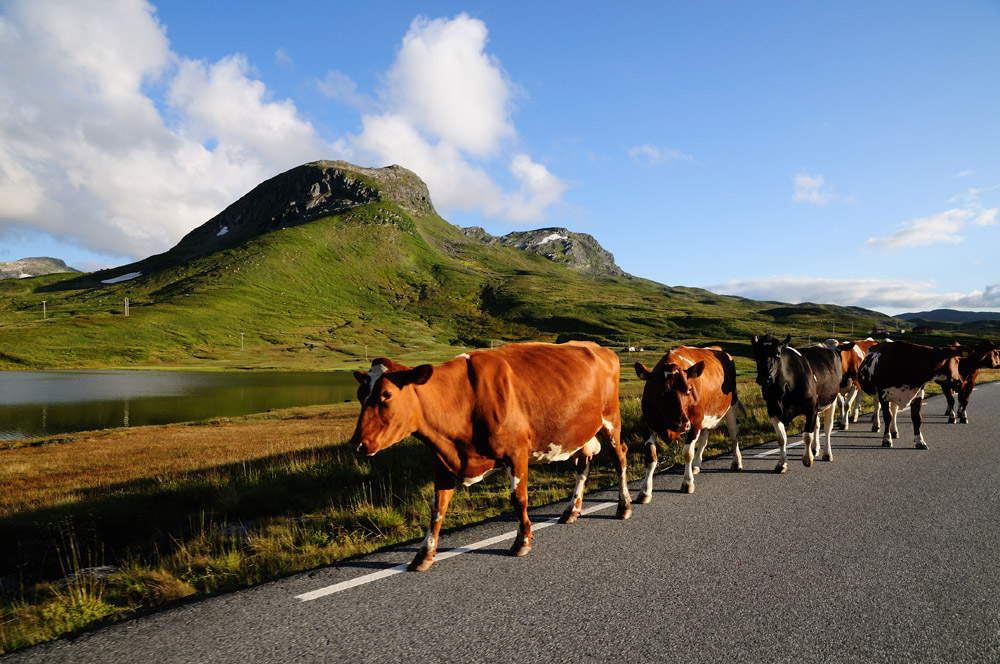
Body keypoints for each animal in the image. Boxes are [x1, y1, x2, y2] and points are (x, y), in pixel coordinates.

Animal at [352, 342, 632, 572]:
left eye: (386, 395)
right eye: (360, 395)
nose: (357, 444)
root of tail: (600, 348)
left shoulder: (516, 452)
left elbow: (518, 499)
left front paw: (522, 541)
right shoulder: (443, 461)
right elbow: (437, 508)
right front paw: (424, 555)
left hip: (611, 420)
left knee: (620, 458)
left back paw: (624, 506)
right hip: (582, 432)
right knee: (582, 466)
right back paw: (571, 510)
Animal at [636, 344, 740, 496]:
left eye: (689, 390)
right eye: (659, 392)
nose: (682, 424)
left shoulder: (695, 423)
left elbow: (687, 453)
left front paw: (687, 483)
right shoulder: (648, 424)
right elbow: (650, 457)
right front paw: (645, 491)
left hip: (731, 405)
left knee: (733, 433)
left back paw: (736, 462)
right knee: (704, 439)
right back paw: (696, 466)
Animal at [752, 332, 844, 472]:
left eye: (778, 353)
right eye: (757, 354)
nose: (764, 378)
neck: (781, 391)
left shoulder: (811, 406)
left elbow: (807, 435)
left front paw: (807, 459)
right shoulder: (772, 409)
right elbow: (781, 438)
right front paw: (781, 464)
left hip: (831, 400)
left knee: (828, 427)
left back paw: (827, 454)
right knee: (817, 425)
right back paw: (815, 450)